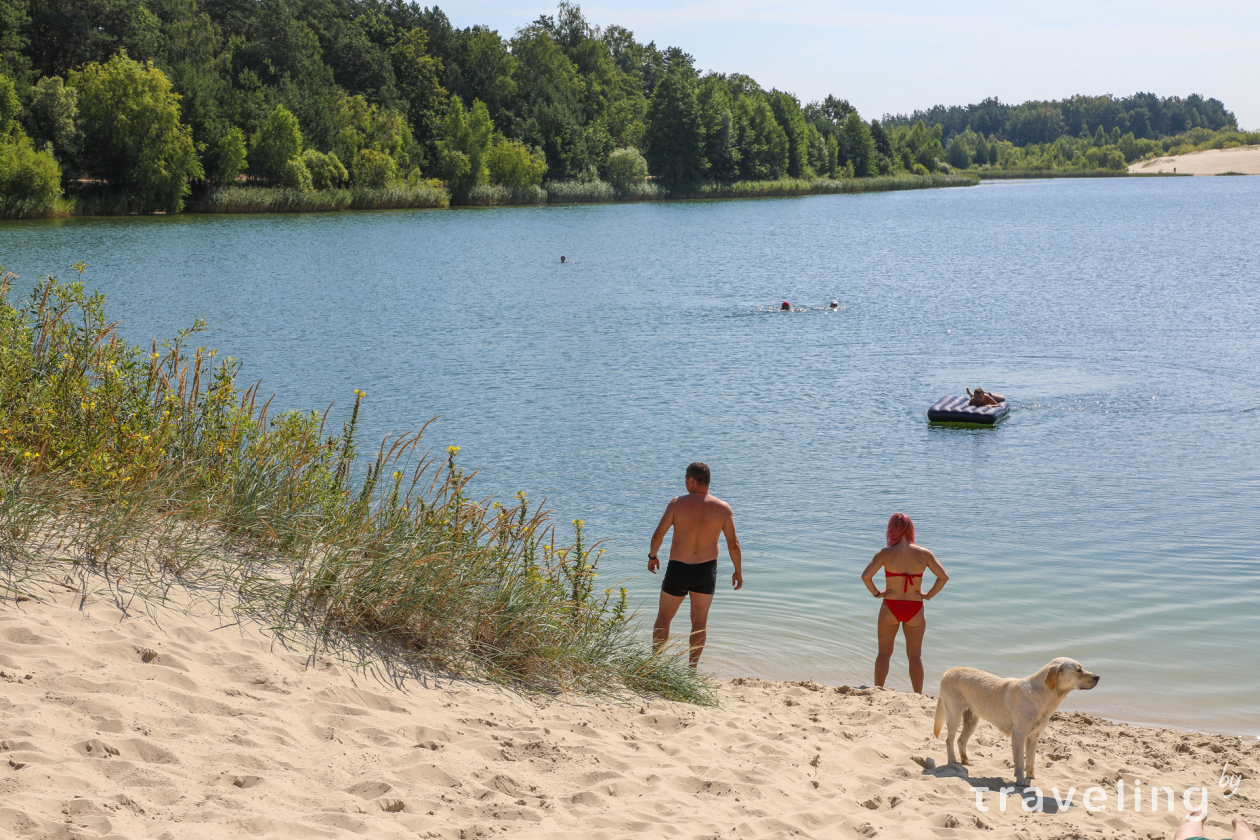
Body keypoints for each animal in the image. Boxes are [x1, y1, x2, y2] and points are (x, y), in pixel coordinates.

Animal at [932, 654, 1098, 790]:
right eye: (1079, 670)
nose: (1098, 677)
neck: (1043, 694)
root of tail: (948, 671)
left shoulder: (1034, 736)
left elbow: (1030, 761)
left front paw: (1030, 778)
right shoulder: (1019, 735)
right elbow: (1020, 762)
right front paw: (1020, 782)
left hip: (972, 720)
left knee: (961, 740)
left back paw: (965, 761)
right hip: (954, 716)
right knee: (949, 740)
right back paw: (952, 762)